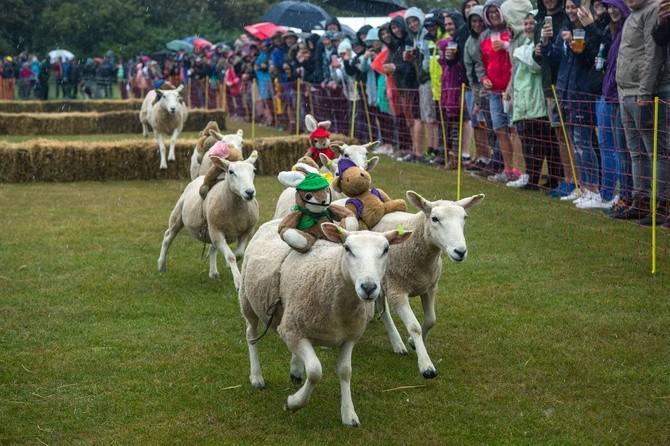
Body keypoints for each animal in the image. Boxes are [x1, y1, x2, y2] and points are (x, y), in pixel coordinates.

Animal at [159, 150, 262, 290]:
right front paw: (238, 281)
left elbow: (239, 253)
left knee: (212, 248)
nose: (250, 192)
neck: (236, 211)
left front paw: (230, 266)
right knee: (168, 237)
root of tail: (200, 177)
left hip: (212, 229)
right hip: (179, 216)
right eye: (231, 172)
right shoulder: (217, 231)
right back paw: (161, 265)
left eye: (254, 171)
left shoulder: (247, 231)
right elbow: (230, 256)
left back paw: (213, 272)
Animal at [239, 221, 412, 426]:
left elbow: (345, 372)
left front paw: (348, 413)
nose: (368, 287)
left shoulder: (350, 336)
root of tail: (272, 222)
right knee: (251, 335)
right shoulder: (293, 332)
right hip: (248, 301)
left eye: (386, 249)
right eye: (347, 248)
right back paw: (256, 376)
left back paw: (296, 369)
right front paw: (293, 403)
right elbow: (315, 371)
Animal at [370, 192, 486, 380]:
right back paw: (397, 343)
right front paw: (426, 366)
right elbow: (414, 327)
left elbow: (431, 320)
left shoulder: (429, 287)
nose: (460, 252)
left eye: (465, 217)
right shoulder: (397, 291)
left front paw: (414, 343)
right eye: (435, 218)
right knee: (384, 311)